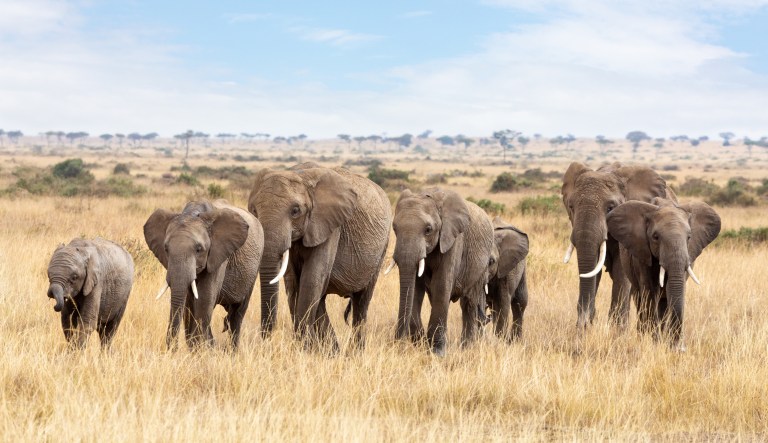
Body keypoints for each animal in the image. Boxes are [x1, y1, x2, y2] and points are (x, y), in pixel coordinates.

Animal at [144, 199, 263, 350]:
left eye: (198, 249)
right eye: (166, 249)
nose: (172, 350)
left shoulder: (218, 255)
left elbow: (204, 301)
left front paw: (202, 349)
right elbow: (189, 306)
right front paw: (197, 349)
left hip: (255, 267)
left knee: (237, 313)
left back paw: (231, 350)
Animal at [248, 163, 391, 350]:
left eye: (295, 211)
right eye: (254, 210)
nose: (266, 339)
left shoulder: (330, 225)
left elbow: (311, 279)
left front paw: (302, 350)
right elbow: (294, 283)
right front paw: (308, 349)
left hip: (383, 246)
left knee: (361, 302)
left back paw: (354, 352)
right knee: (322, 299)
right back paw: (334, 351)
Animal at [389, 188, 493, 356]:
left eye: (428, 230)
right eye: (394, 228)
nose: (397, 345)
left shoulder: (453, 240)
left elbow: (441, 285)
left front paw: (437, 352)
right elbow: (415, 289)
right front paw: (420, 345)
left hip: (482, 266)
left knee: (470, 303)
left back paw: (467, 347)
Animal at [607, 197, 721, 351]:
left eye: (689, 237)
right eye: (655, 237)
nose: (681, 349)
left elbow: (674, 293)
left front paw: (667, 345)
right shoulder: (642, 255)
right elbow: (650, 293)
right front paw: (654, 344)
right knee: (640, 298)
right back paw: (643, 335)